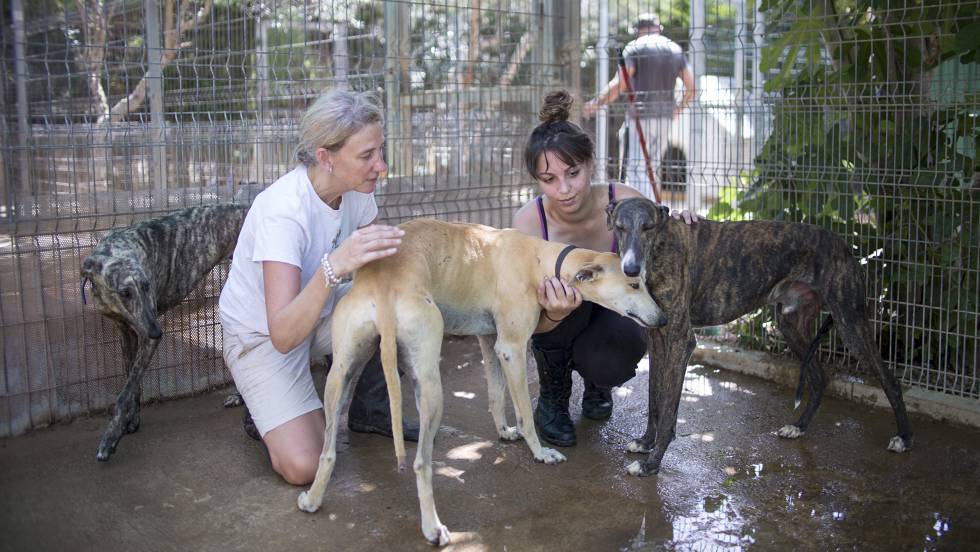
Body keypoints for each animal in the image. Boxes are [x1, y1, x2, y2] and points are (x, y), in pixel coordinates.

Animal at [82, 203, 247, 462]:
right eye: (125, 292)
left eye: (146, 285)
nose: (157, 332)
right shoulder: (126, 331)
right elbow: (132, 380)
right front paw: (131, 421)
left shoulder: (146, 338)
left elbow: (124, 393)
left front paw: (110, 439)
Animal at [608, 199, 916, 478]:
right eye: (620, 228)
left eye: (648, 227)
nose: (631, 270)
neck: (660, 248)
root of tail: (845, 247)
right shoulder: (656, 337)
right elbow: (654, 400)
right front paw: (645, 442)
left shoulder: (680, 340)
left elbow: (669, 410)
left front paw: (652, 464)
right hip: (790, 323)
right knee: (819, 377)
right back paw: (798, 427)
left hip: (850, 322)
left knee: (890, 380)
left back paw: (904, 438)